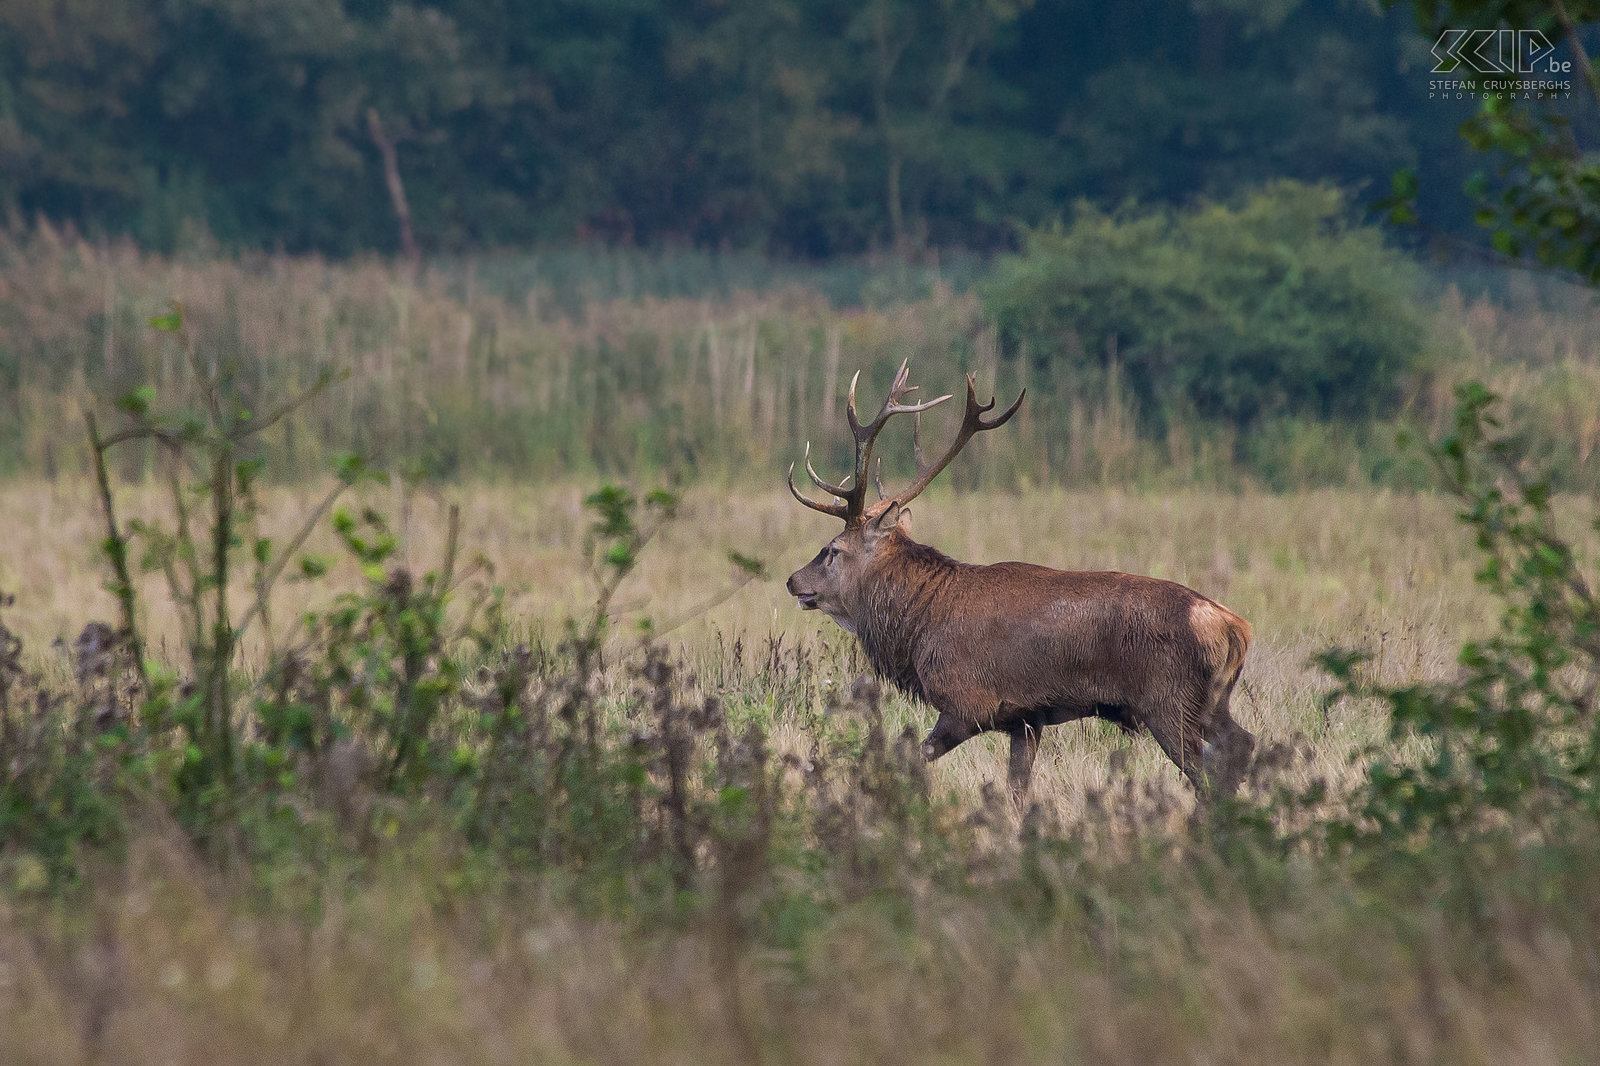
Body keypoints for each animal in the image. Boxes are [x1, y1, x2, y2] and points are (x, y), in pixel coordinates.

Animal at [780, 361, 1254, 800]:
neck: (918, 626)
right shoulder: (1025, 717)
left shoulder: (968, 701)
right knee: (1243, 745)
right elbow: (1016, 789)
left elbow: (908, 755)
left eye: (833, 550)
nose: (792, 581)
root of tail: (1236, 628)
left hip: (1168, 700)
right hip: (1211, 701)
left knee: (1208, 774)